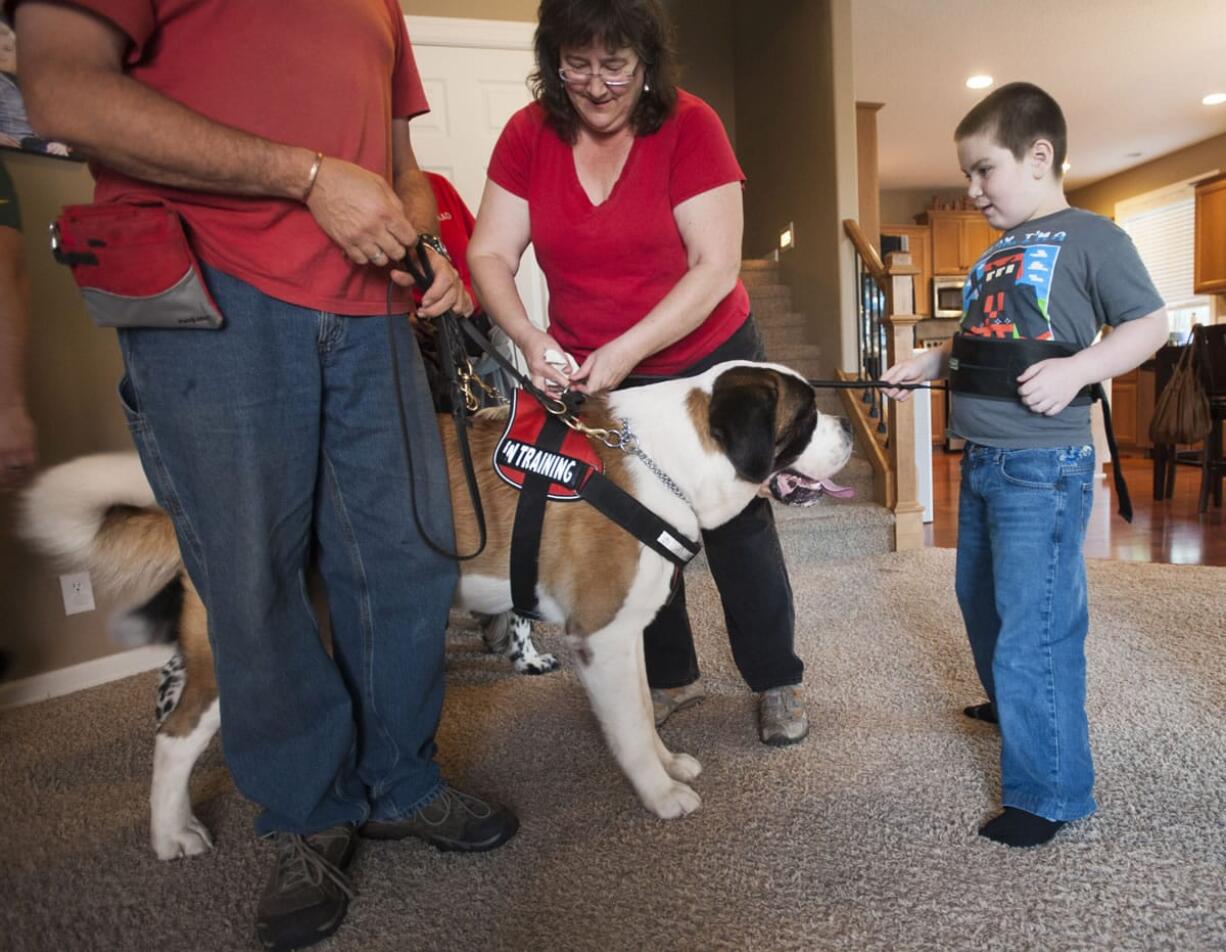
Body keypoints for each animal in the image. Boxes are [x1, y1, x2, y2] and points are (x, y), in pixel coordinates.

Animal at [23, 360, 858, 857]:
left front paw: (667, 761)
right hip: (244, 655)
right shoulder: (603, 638)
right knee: (174, 740)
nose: (849, 425)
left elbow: (647, 719)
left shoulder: (622, 640)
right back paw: (173, 834)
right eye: (804, 417)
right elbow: (628, 728)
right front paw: (658, 794)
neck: (671, 458)